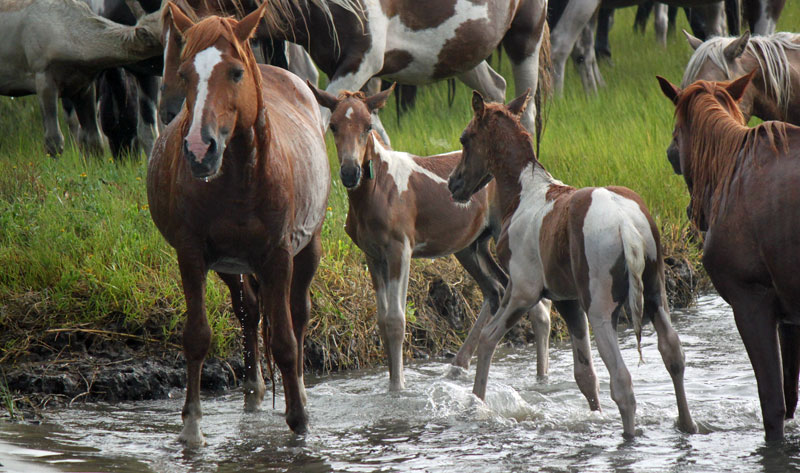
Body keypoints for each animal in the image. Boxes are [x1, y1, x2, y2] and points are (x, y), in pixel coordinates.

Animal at [146, 1, 328, 444]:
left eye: (235, 72)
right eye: (184, 74)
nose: (199, 150)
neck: (241, 178)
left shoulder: (278, 256)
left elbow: (285, 343)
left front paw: (299, 422)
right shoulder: (192, 254)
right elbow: (197, 336)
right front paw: (191, 426)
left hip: (307, 250)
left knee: (297, 315)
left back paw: (297, 390)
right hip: (230, 266)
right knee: (248, 312)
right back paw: (253, 391)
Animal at [446, 89, 696, 438]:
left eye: (465, 138)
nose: (453, 184)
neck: (521, 194)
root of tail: (626, 226)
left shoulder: (524, 288)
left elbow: (488, 337)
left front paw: (476, 405)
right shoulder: (568, 299)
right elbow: (585, 375)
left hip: (601, 309)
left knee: (622, 381)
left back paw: (630, 436)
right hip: (656, 296)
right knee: (673, 354)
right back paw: (687, 424)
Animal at [656, 72, 800, 440]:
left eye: (672, 153)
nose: (694, 214)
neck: (727, 171)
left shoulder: (750, 299)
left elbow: (773, 408)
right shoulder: (789, 317)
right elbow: (790, 401)